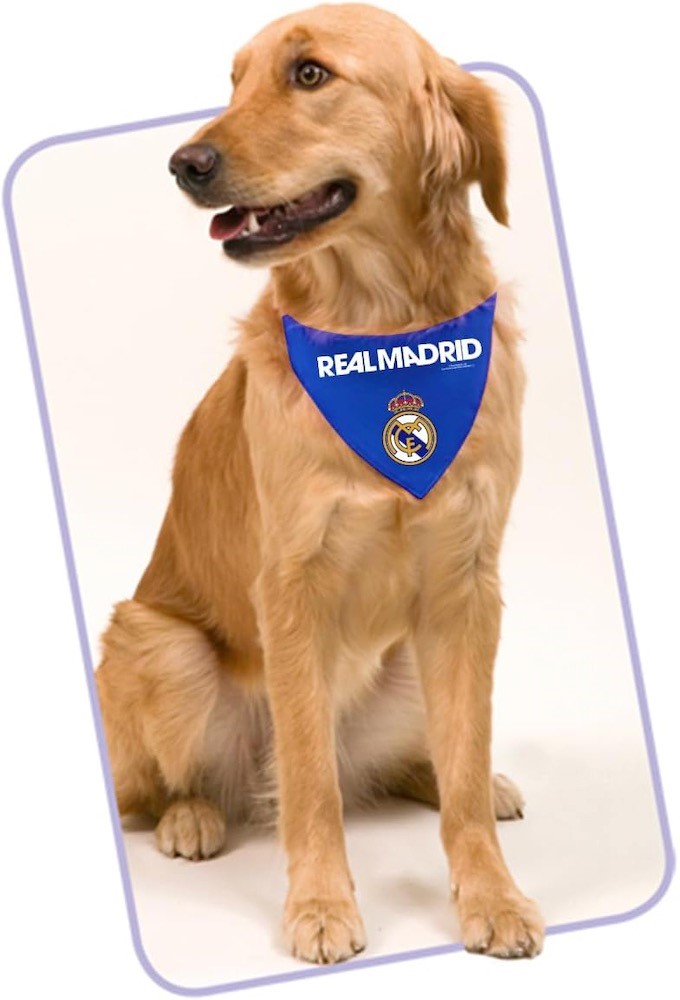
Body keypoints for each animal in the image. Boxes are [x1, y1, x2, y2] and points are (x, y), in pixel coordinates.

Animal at [96, 2, 544, 965]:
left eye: (310, 75)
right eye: (234, 81)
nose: (184, 163)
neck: (383, 335)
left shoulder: (469, 579)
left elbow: (462, 754)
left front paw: (490, 892)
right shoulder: (292, 585)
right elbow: (308, 783)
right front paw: (321, 906)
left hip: (415, 655)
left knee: (422, 759)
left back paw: (471, 782)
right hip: (160, 643)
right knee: (171, 790)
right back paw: (192, 817)